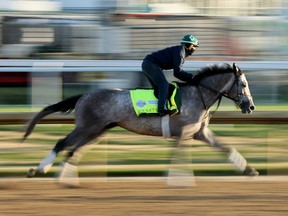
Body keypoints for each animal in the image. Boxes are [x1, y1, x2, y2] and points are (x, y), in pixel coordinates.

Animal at [24, 62, 258, 184]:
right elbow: (178, 156)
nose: (251, 106)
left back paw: (65, 179)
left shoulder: (199, 133)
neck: (198, 94)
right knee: (62, 144)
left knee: (74, 151)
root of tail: (84, 95)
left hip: (97, 131)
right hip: (87, 127)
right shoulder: (183, 133)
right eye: (244, 84)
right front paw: (176, 180)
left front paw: (249, 170)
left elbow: (225, 148)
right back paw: (39, 170)